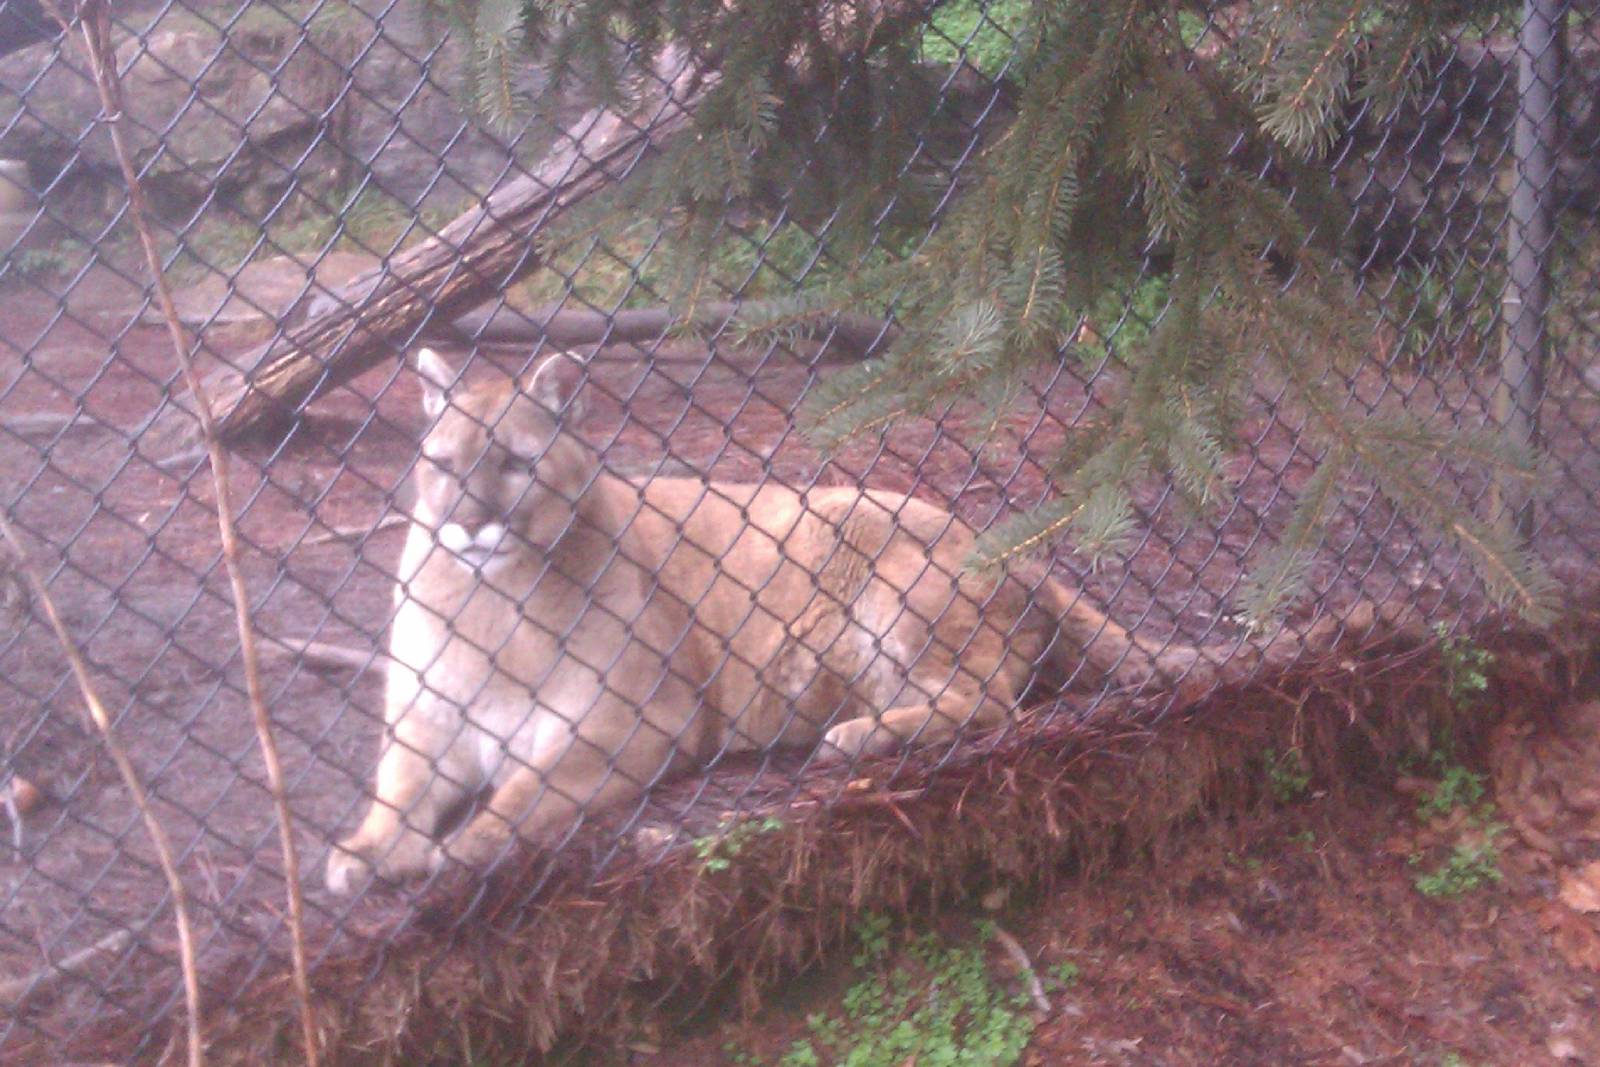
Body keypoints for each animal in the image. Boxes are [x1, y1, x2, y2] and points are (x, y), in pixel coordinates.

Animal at [325, 349, 1195, 893]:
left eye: (515, 461)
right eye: (442, 464)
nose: (468, 523)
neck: (494, 600)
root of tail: (1007, 546)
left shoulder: (631, 719)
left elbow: (526, 788)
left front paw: (464, 846)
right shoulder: (426, 719)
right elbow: (396, 787)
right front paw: (364, 851)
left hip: (885, 579)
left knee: (989, 700)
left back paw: (857, 736)